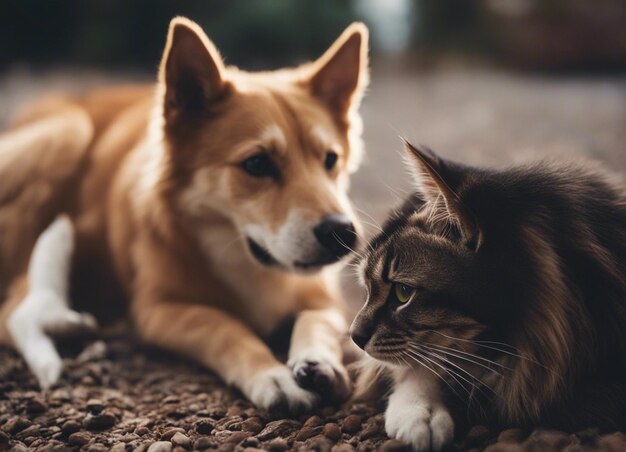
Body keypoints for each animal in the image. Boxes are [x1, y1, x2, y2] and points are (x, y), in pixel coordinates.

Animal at [0, 16, 366, 414]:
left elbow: (316, 323)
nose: (342, 233)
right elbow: (224, 327)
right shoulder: (157, 310)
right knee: (13, 308)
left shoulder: (324, 299)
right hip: (67, 135)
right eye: (257, 163)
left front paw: (318, 361)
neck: (246, 262)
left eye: (330, 159)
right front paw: (270, 375)